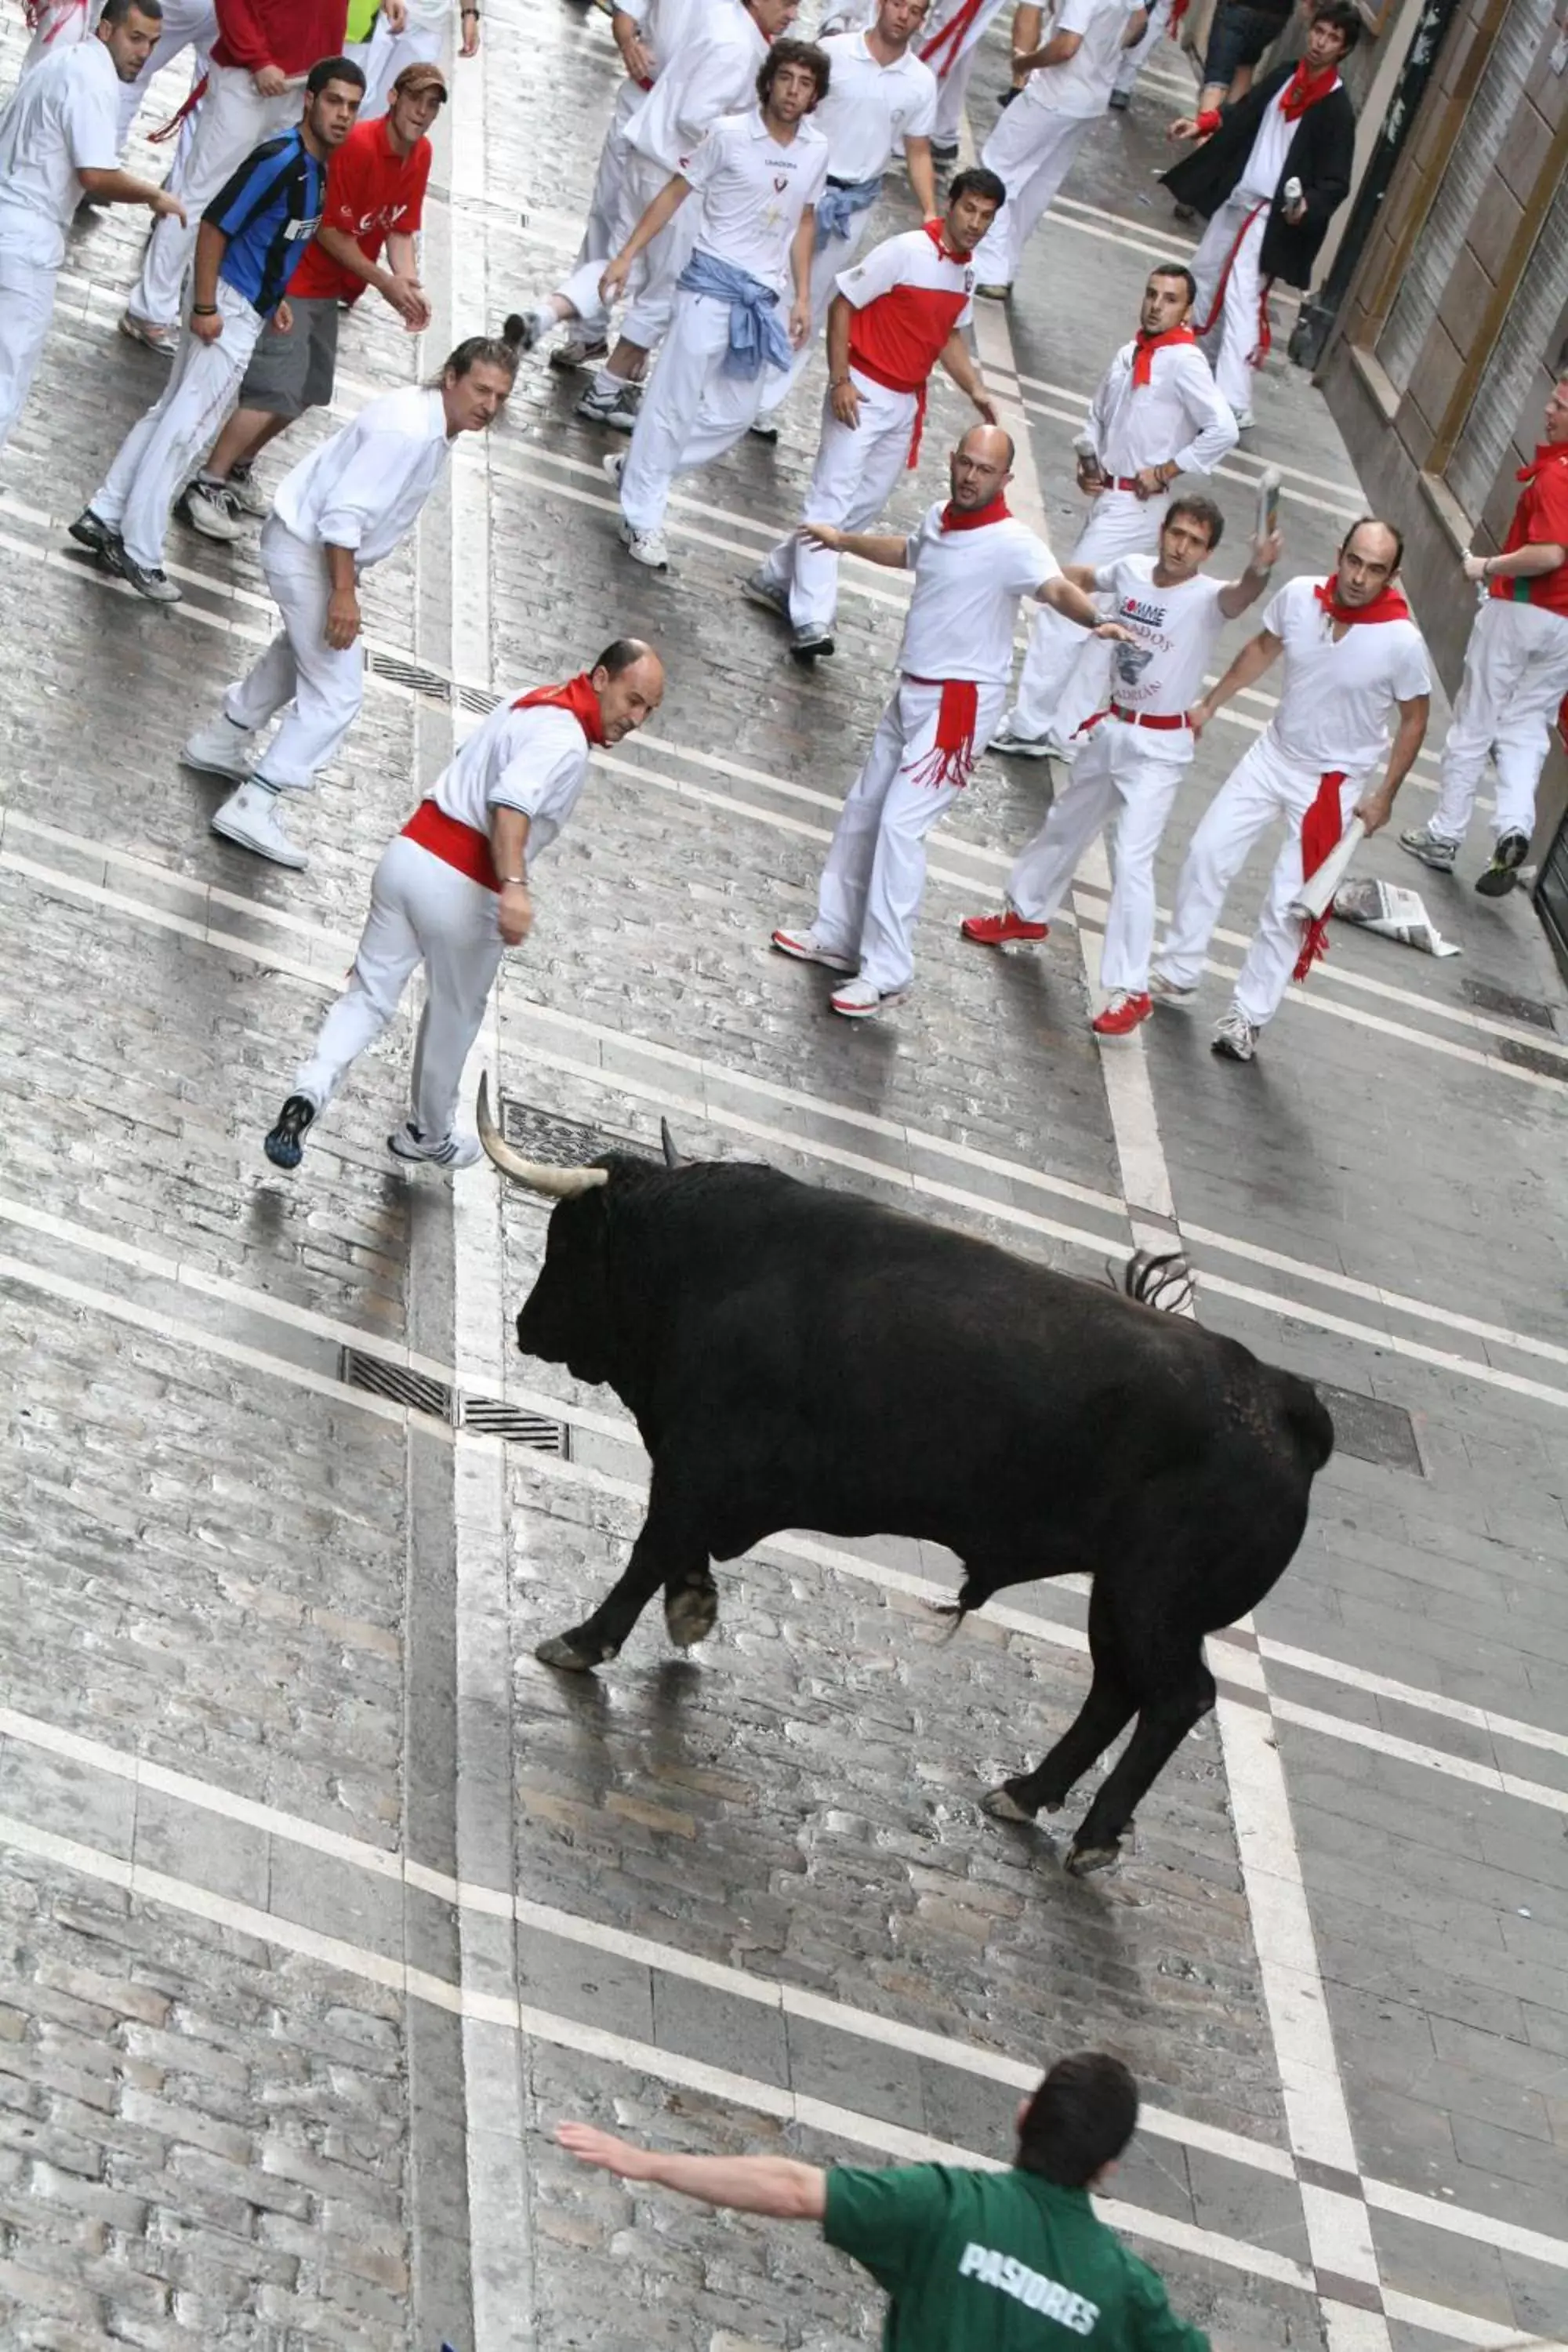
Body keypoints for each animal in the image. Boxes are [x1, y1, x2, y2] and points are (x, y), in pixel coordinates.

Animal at [481, 1087, 1335, 1872]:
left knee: (1174, 1697)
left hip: (1152, 1599)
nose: (524, 1326)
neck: (711, 1261)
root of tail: (1278, 1400)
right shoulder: (701, 1472)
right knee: (1114, 1690)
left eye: (567, 1240)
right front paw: (690, 1608)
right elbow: (675, 1550)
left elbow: (650, 1548)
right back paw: (1024, 1794)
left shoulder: (697, 1461)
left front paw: (581, 1641)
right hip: (1122, 1596)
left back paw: (1091, 1837)